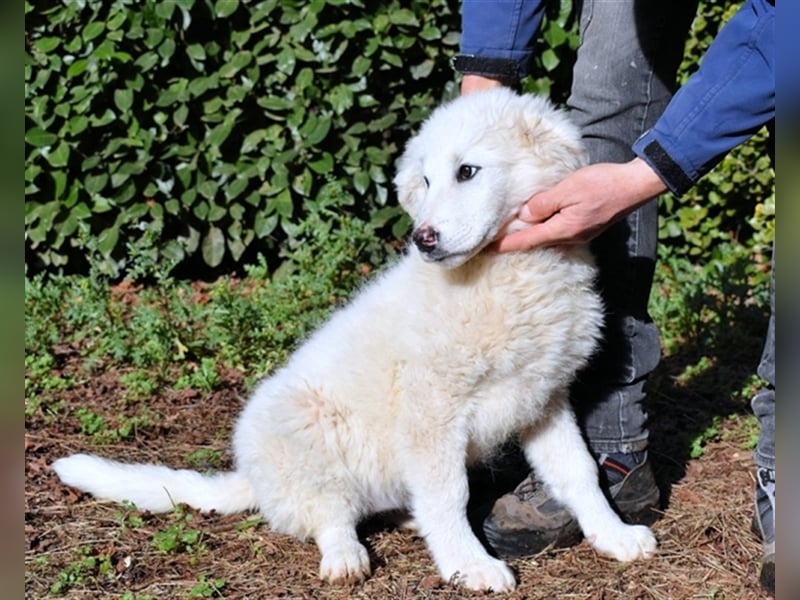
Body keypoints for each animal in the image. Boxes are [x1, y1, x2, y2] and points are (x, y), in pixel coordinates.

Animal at [54, 86, 656, 592]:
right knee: (330, 514)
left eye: (467, 171)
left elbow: (579, 471)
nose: (423, 239)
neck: (506, 274)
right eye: (426, 182)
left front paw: (614, 534)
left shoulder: (543, 396)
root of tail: (253, 478)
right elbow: (449, 494)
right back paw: (346, 556)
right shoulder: (431, 411)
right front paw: (469, 565)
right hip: (306, 428)